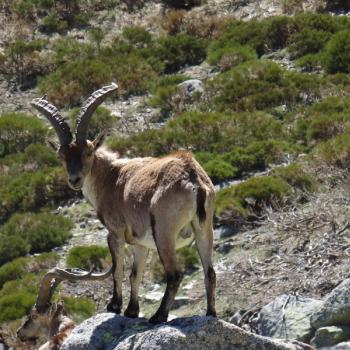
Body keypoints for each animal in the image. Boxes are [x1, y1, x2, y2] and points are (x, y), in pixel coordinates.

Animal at [30, 84, 216, 322]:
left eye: (88, 152)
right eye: (61, 156)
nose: (74, 180)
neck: (110, 177)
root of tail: (193, 178)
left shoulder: (115, 232)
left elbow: (117, 269)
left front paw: (115, 306)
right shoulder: (140, 242)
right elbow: (135, 274)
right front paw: (131, 310)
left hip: (164, 232)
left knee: (174, 274)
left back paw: (159, 316)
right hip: (204, 228)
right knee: (209, 272)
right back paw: (210, 313)